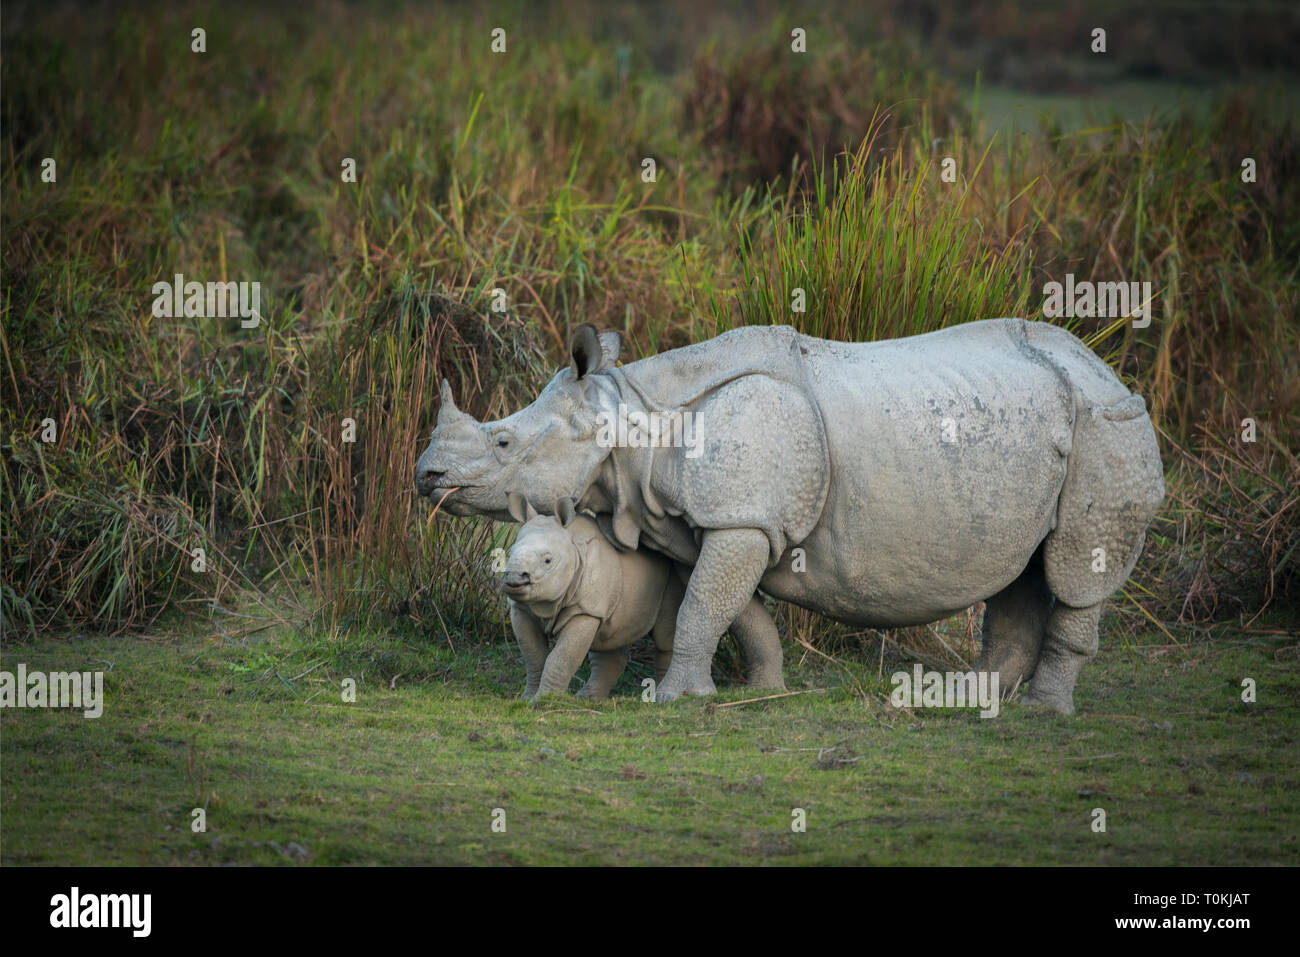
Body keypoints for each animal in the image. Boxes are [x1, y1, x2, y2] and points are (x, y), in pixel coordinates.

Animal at [417, 318, 1165, 713]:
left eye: (503, 442)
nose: (426, 477)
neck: (630, 413)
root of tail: (1108, 369)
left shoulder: (741, 517)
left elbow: (704, 605)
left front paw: (674, 700)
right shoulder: (719, 523)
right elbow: (735, 608)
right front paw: (764, 689)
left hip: (1108, 426)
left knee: (1076, 568)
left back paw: (1042, 711)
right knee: (1023, 567)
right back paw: (963, 698)